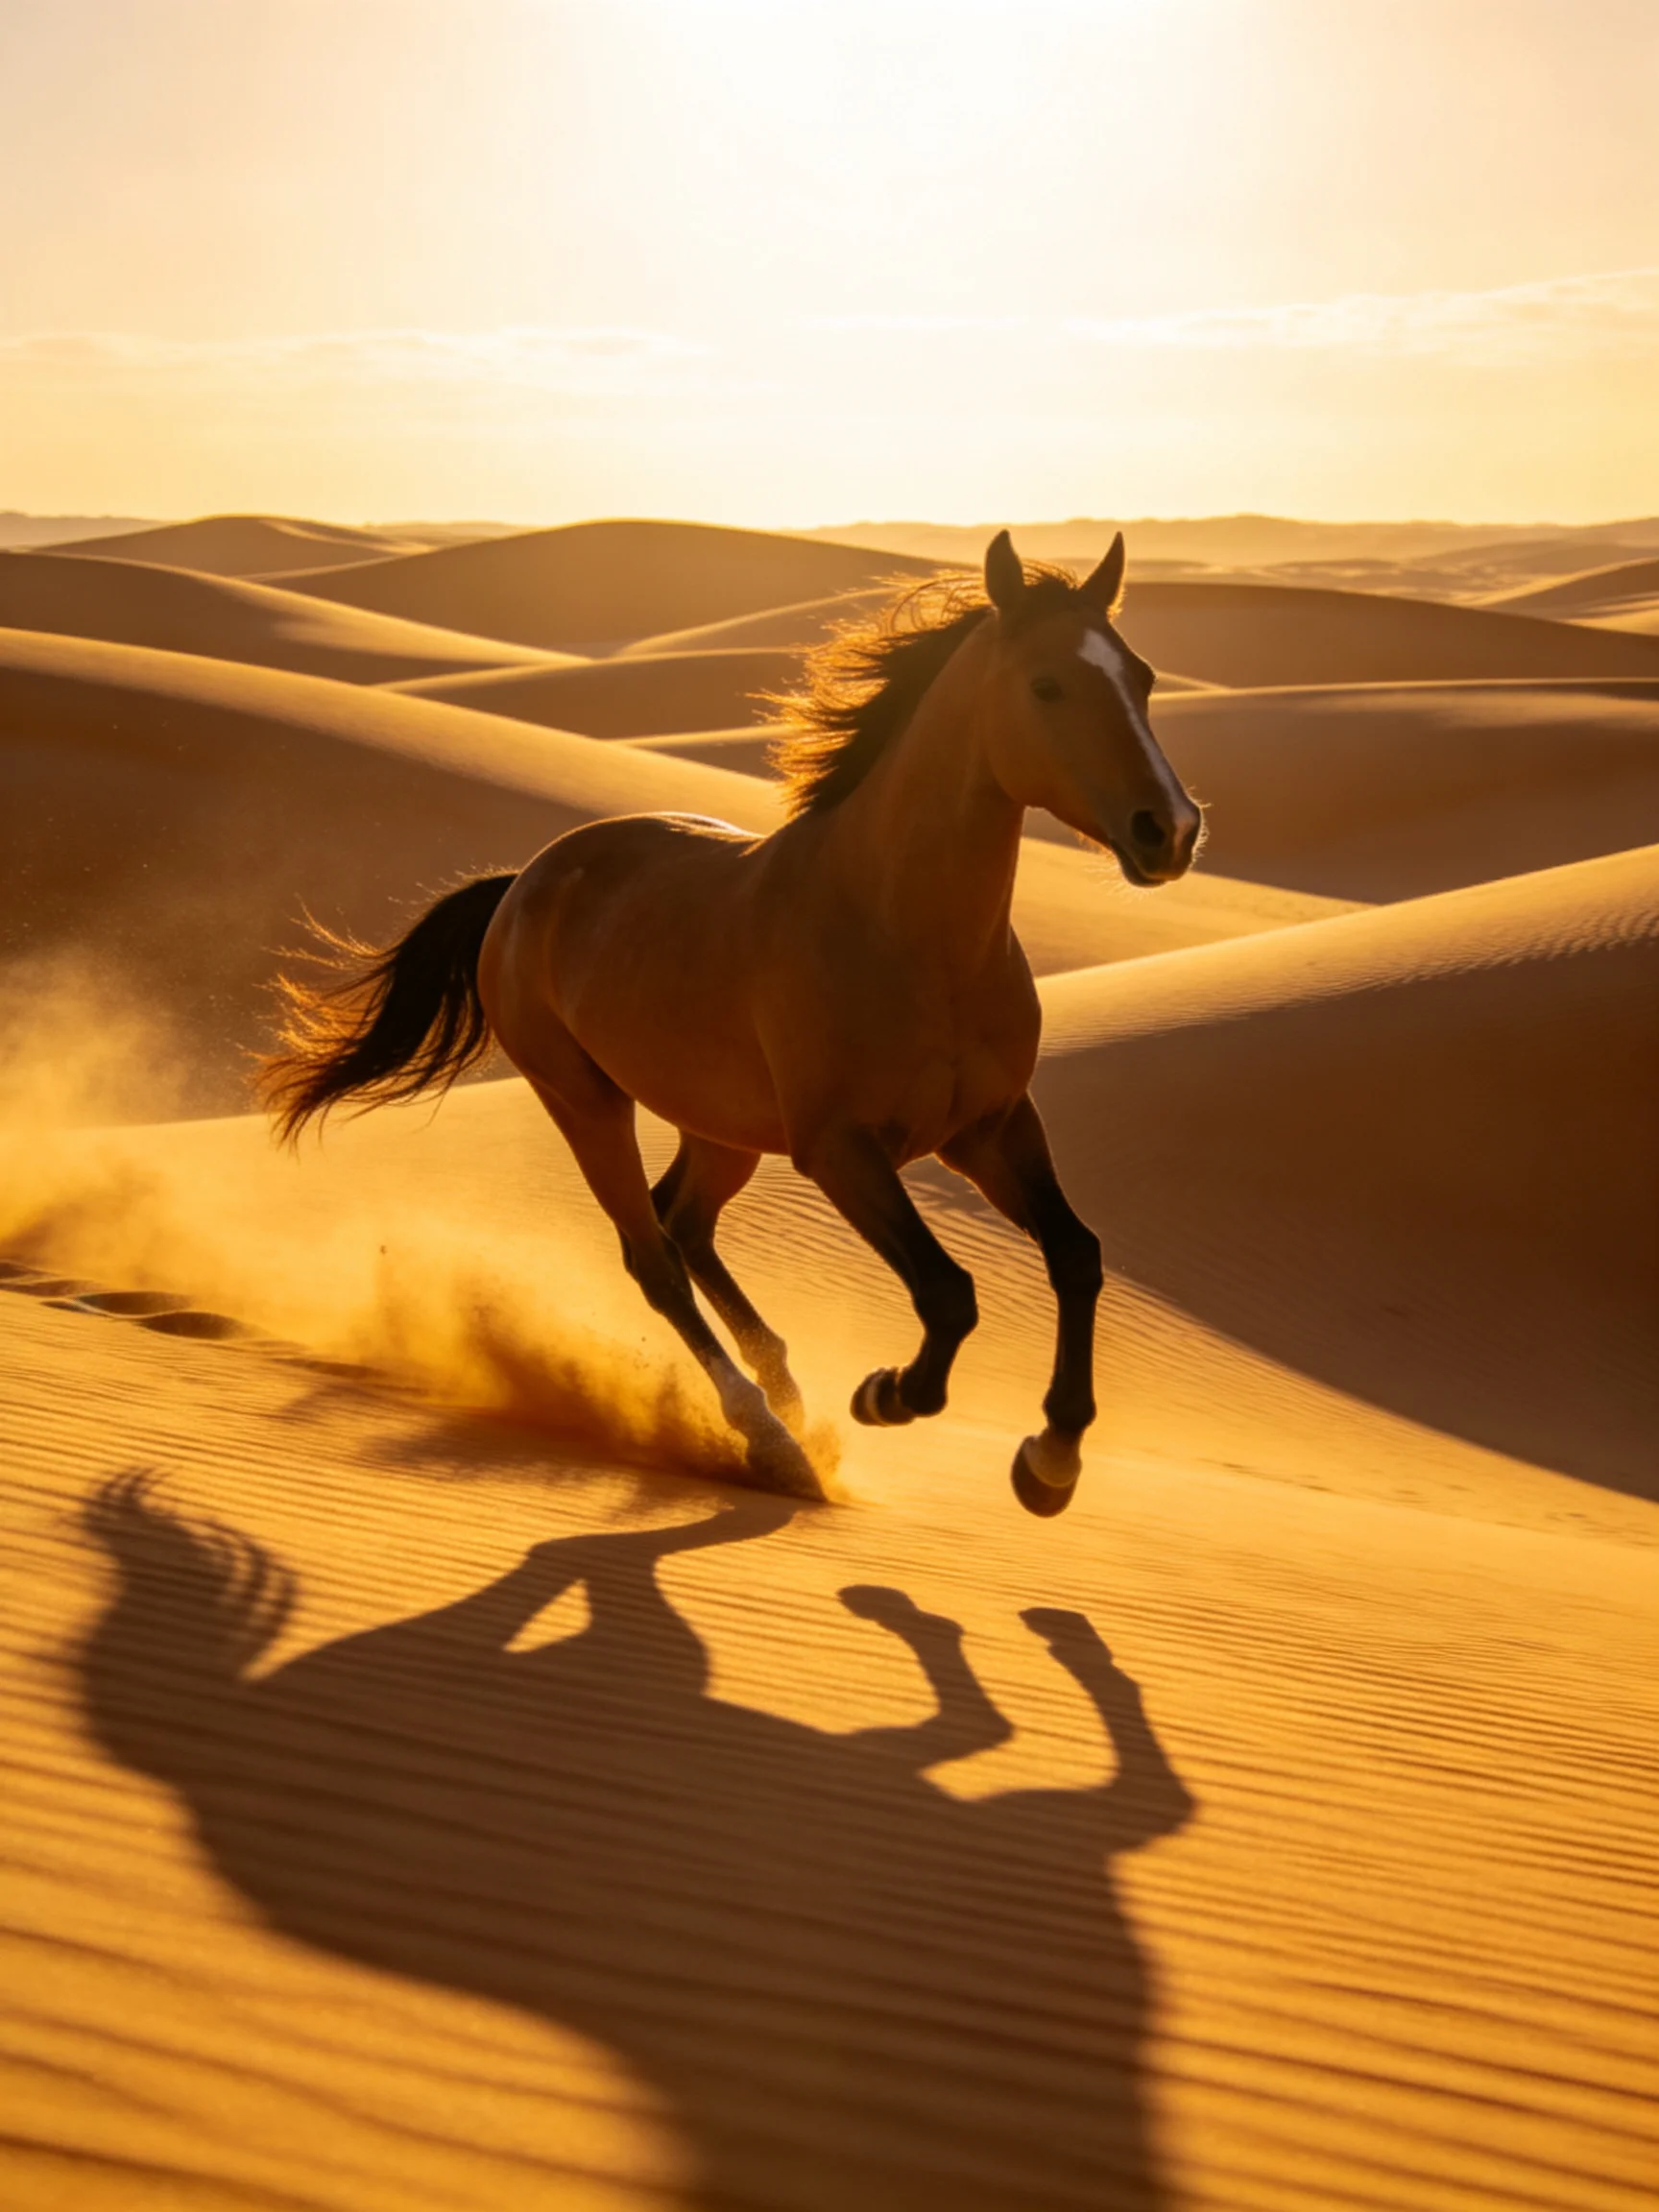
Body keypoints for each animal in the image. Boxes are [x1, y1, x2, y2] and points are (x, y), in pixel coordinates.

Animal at [261, 531, 1203, 1514]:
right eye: (1047, 685)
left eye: (1142, 677)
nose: (1170, 831)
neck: (906, 932)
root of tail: (524, 882)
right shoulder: (839, 1149)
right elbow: (950, 1293)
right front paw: (890, 1393)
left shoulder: (990, 1127)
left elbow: (1077, 1256)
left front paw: (1051, 1460)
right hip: (585, 1103)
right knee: (653, 1259)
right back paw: (771, 1436)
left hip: (723, 1130)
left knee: (683, 1221)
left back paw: (784, 1388)